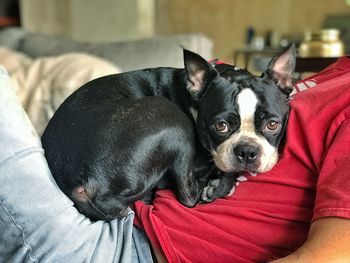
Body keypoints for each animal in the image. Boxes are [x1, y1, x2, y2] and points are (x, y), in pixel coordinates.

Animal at [42, 46, 296, 221]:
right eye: (221, 126)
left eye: (273, 125)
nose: (247, 152)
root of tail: (84, 186)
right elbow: (222, 171)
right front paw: (219, 183)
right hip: (174, 120)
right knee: (187, 196)